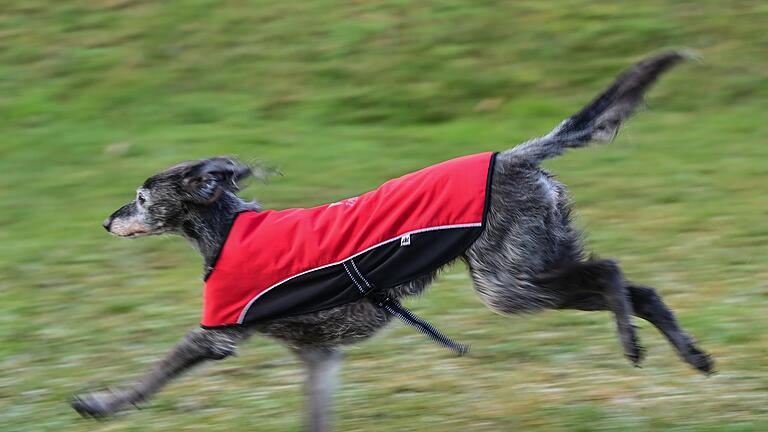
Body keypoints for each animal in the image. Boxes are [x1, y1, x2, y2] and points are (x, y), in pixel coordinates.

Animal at [72, 52, 712, 430]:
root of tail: (514, 155)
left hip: (508, 284)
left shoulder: (216, 336)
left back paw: (633, 344)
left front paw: (101, 403)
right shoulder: (318, 357)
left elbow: (153, 374)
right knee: (642, 289)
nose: (104, 221)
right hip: (530, 266)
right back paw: (692, 355)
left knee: (611, 273)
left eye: (142, 197)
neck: (227, 229)